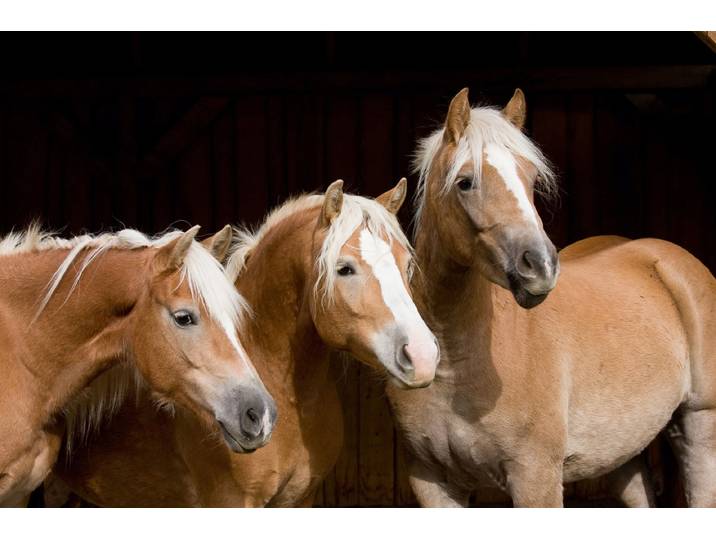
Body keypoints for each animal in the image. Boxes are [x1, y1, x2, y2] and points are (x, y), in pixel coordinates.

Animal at [386, 87, 716, 507]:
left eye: (529, 177)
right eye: (465, 182)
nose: (540, 265)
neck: (455, 360)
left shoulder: (535, 475)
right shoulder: (432, 482)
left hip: (700, 423)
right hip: (622, 452)